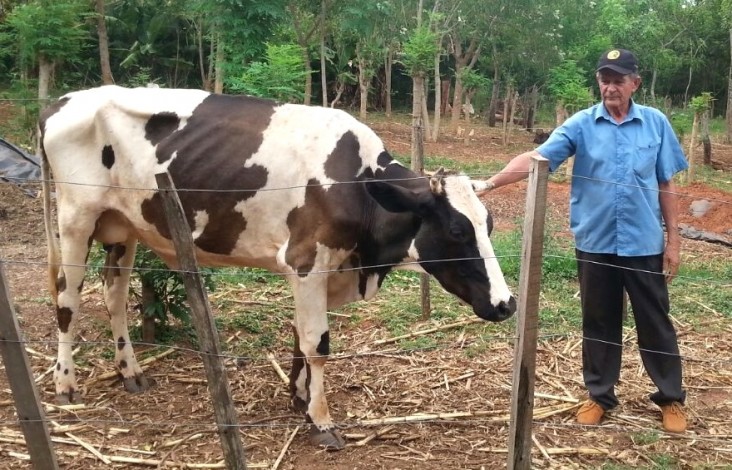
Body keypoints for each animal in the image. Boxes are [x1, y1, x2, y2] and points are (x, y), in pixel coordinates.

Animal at [40, 86, 516, 450]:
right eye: (457, 230)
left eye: (489, 224)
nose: (507, 303)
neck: (356, 185)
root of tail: (63, 100)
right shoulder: (306, 262)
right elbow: (317, 343)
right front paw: (321, 421)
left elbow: (301, 335)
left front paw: (299, 398)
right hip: (76, 218)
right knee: (67, 299)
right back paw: (66, 384)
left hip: (123, 227)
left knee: (114, 295)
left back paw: (130, 372)